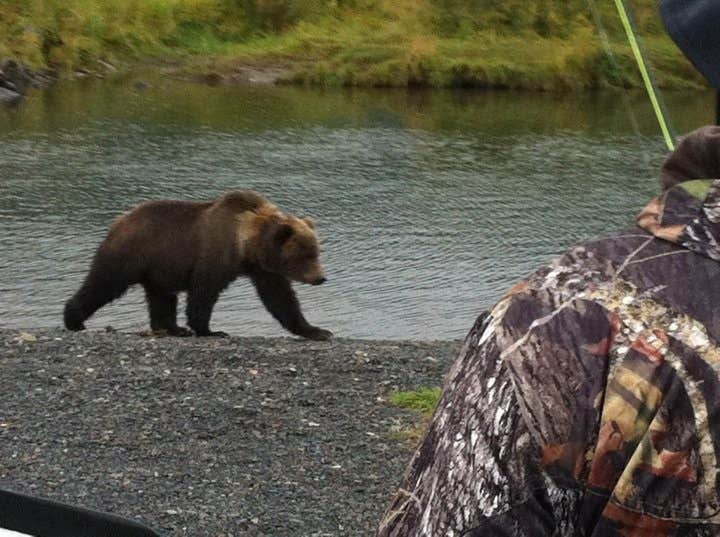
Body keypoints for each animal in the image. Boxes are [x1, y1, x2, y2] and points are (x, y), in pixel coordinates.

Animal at [63, 189, 334, 340]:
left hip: (160, 267)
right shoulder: (215, 255)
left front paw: (318, 331)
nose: (320, 277)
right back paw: (73, 319)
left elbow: (281, 299)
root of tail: (120, 220)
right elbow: (203, 293)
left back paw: (172, 328)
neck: (245, 245)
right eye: (305, 254)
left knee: (161, 297)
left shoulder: (264, 270)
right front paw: (210, 330)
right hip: (131, 253)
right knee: (104, 284)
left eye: (316, 251)